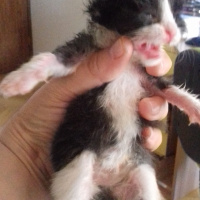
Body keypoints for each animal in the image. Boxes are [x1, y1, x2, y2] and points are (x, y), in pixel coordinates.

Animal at [0, 0, 200, 200]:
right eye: (145, 12)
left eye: (175, 15)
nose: (172, 32)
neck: (127, 64)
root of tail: (109, 180)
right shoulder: (85, 51)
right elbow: (56, 58)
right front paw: (19, 79)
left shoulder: (148, 81)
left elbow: (170, 90)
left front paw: (194, 107)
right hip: (77, 171)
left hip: (140, 171)